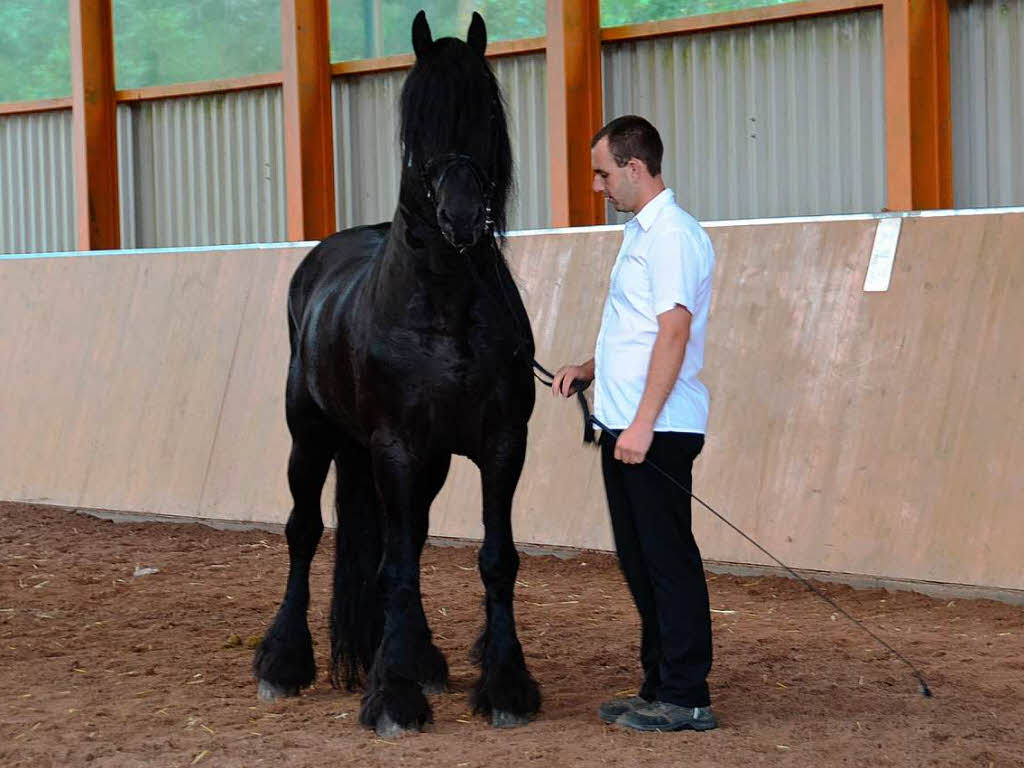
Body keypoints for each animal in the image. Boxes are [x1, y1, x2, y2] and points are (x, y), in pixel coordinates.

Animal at [251, 10, 540, 733]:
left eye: (485, 112)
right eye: (418, 122)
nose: (460, 217)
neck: (445, 309)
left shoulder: (501, 444)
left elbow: (495, 557)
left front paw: (505, 685)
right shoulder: (395, 448)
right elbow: (397, 563)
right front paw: (393, 695)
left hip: (419, 463)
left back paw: (419, 658)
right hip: (312, 439)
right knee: (304, 531)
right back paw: (283, 662)